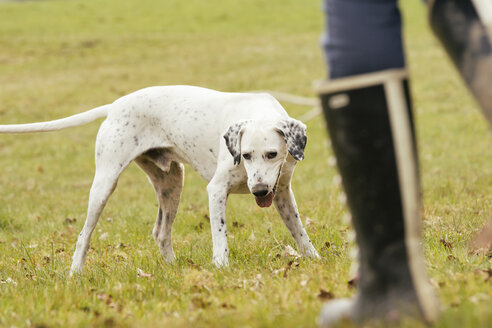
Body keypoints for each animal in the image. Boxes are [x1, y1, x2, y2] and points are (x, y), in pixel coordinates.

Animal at [0, 86, 320, 276]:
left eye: (272, 154)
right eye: (246, 155)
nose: (259, 190)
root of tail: (115, 105)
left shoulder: (282, 193)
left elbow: (299, 231)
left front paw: (314, 258)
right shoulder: (217, 191)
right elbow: (220, 235)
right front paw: (221, 266)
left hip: (172, 183)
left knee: (161, 232)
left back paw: (174, 268)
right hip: (104, 185)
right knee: (84, 235)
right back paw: (75, 273)